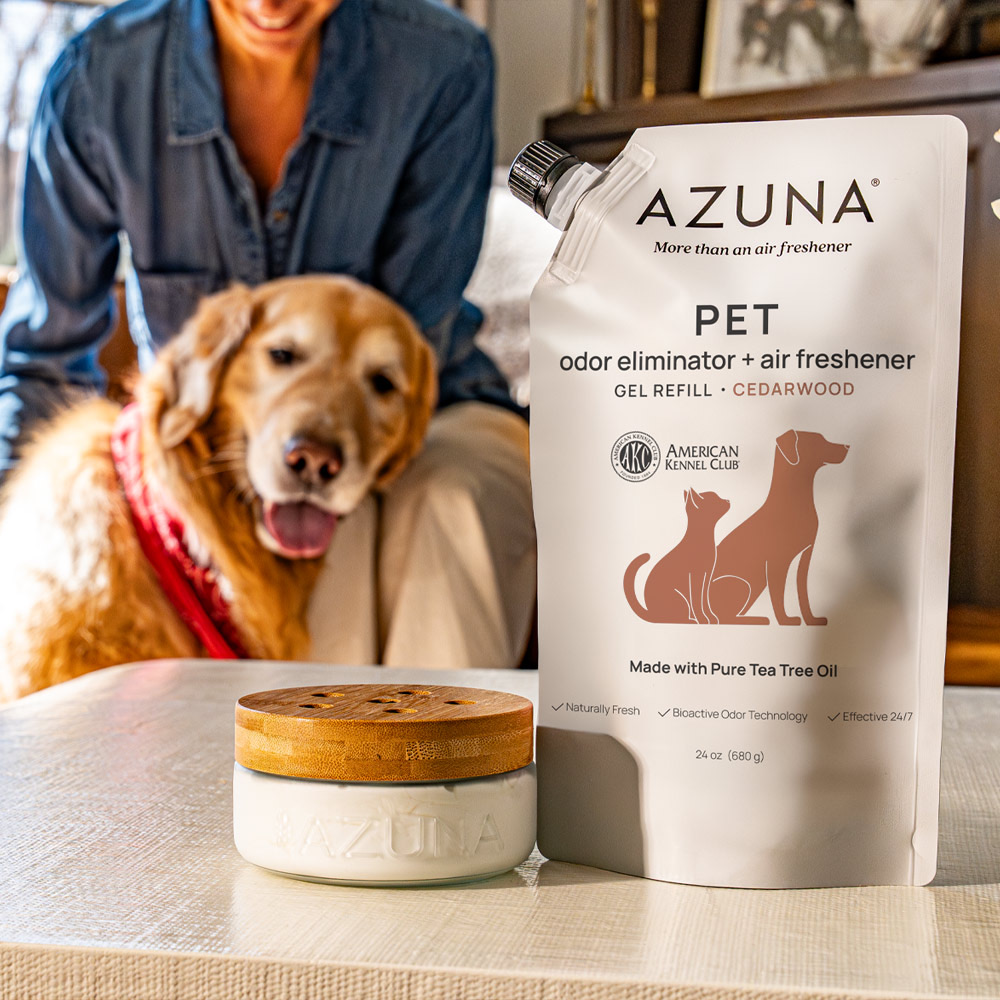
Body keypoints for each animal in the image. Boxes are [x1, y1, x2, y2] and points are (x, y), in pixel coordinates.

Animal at [624, 489, 731, 624]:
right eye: (716, 500)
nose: (728, 500)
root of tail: (649, 612)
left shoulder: (707, 574)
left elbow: (705, 600)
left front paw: (711, 617)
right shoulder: (696, 576)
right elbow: (696, 600)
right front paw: (702, 619)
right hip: (680, 599)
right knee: (672, 616)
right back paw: (691, 620)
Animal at [710, 429, 849, 625]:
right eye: (818, 441)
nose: (847, 446)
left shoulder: (806, 555)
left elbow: (803, 595)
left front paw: (811, 619)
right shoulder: (777, 562)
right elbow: (778, 596)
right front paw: (785, 620)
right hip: (741, 584)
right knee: (723, 618)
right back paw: (759, 619)